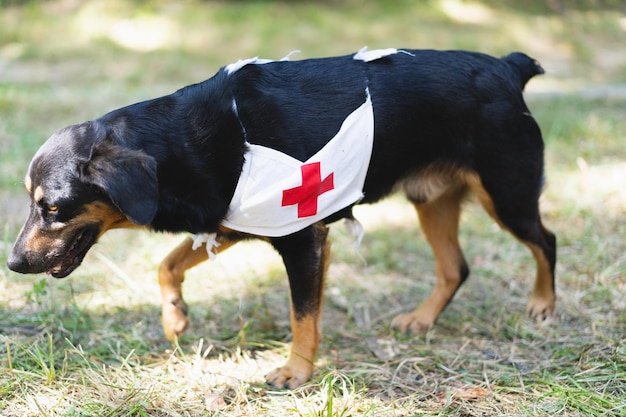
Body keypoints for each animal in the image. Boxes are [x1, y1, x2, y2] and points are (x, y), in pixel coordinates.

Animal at [8, 48, 556, 386]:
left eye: (53, 208)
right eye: (32, 202)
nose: (12, 263)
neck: (182, 143)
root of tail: (508, 68)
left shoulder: (301, 239)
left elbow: (303, 315)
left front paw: (296, 371)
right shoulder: (229, 224)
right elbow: (167, 265)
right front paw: (176, 317)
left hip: (507, 195)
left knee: (544, 241)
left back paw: (543, 304)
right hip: (432, 200)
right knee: (454, 268)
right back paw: (422, 319)